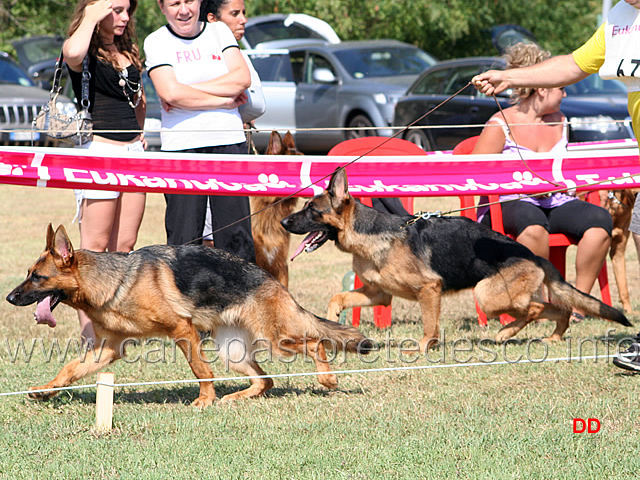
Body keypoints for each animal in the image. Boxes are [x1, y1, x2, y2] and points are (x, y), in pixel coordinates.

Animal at [7, 225, 372, 404]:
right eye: (28, 274)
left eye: (37, 278)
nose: (9, 297)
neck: (114, 282)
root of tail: (271, 280)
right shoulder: (107, 350)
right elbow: (70, 368)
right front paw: (46, 390)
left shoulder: (182, 331)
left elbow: (200, 370)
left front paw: (205, 400)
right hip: (233, 352)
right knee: (265, 379)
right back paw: (235, 398)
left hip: (277, 339)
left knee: (315, 343)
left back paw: (327, 379)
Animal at [282, 169, 632, 352]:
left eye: (312, 211)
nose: (284, 222)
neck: (373, 233)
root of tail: (532, 255)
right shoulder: (378, 294)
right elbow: (338, 297)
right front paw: (331, 321)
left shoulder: (430, 290)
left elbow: (429, 325)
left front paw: (425, 346)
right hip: (499, 296)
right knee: (558, 308)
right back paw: (554, 335)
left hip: (487, 295)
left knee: (535, 308)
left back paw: (506, 333)